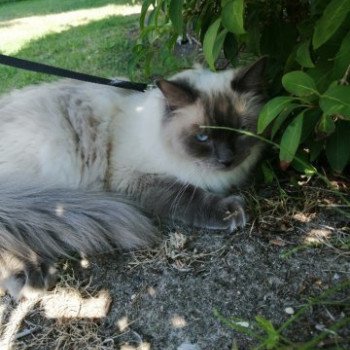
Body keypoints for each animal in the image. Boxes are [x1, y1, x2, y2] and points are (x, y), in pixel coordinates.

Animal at [0, 56, 266, 298]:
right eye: (203, 138)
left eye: (240, 131)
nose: (227, 160)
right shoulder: (134, 179)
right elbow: (191, 197)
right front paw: (230, 212)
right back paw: (30, 280)